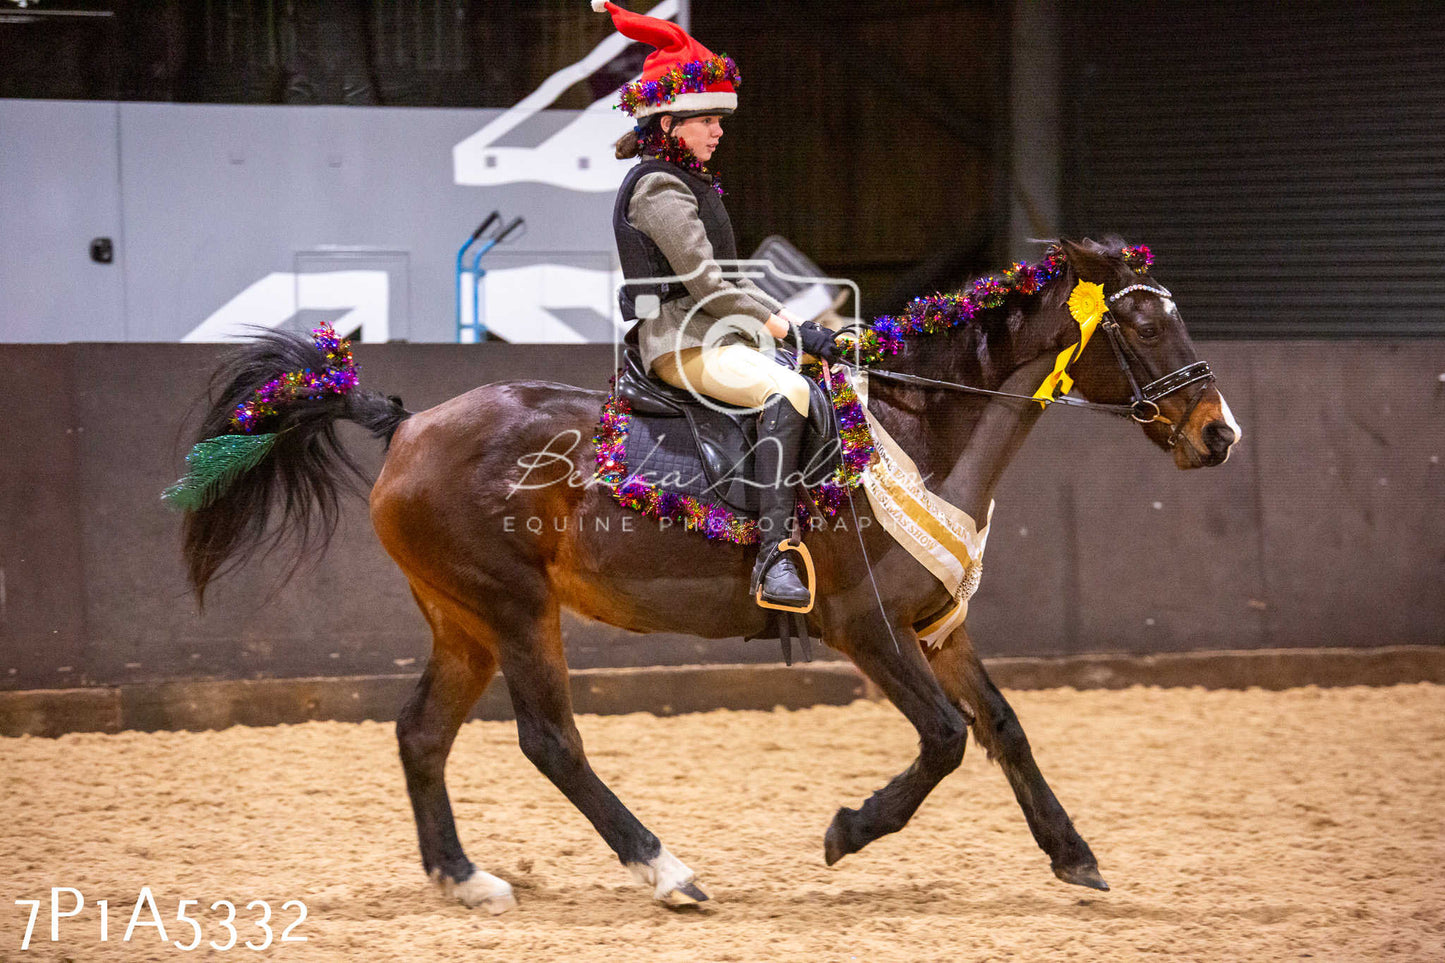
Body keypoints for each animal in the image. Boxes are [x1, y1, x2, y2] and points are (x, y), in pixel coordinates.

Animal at [180, 238, 1242, 908]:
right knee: (550, 741)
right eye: (1143, 326)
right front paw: (848, 830)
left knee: (420, 734)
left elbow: (1004, 729)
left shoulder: (938, 627)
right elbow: (944, 739)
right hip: (515, 608)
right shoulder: (862, 626)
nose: (1218, 434)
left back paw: (465, 878)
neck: (921, 434)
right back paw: (666, 872)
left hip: (463, 620)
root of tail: (406, 425)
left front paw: (1075, 856)